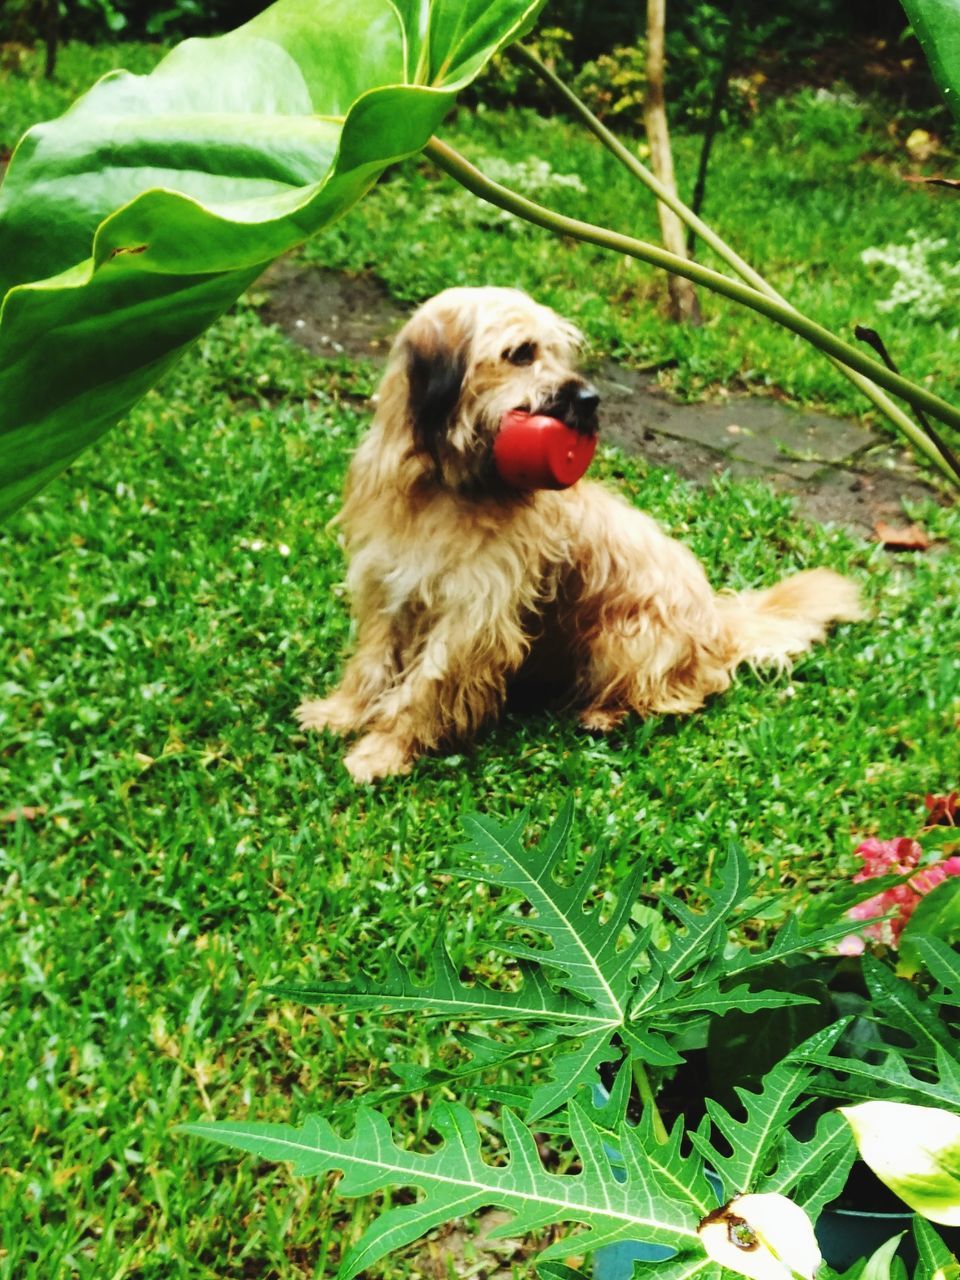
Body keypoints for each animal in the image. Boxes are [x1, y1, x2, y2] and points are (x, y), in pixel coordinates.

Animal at [295, 286, 865, 778]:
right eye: (521, 353)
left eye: (560, 352)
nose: (589, 400)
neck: (446, 487)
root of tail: (721, 627)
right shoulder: (389, 584)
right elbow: (373, 662)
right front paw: (342, 713)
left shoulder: (474, 616)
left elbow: (425, 684)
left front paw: (383, 749)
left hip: (624, 636)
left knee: (686, 692)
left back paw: (607, 713)